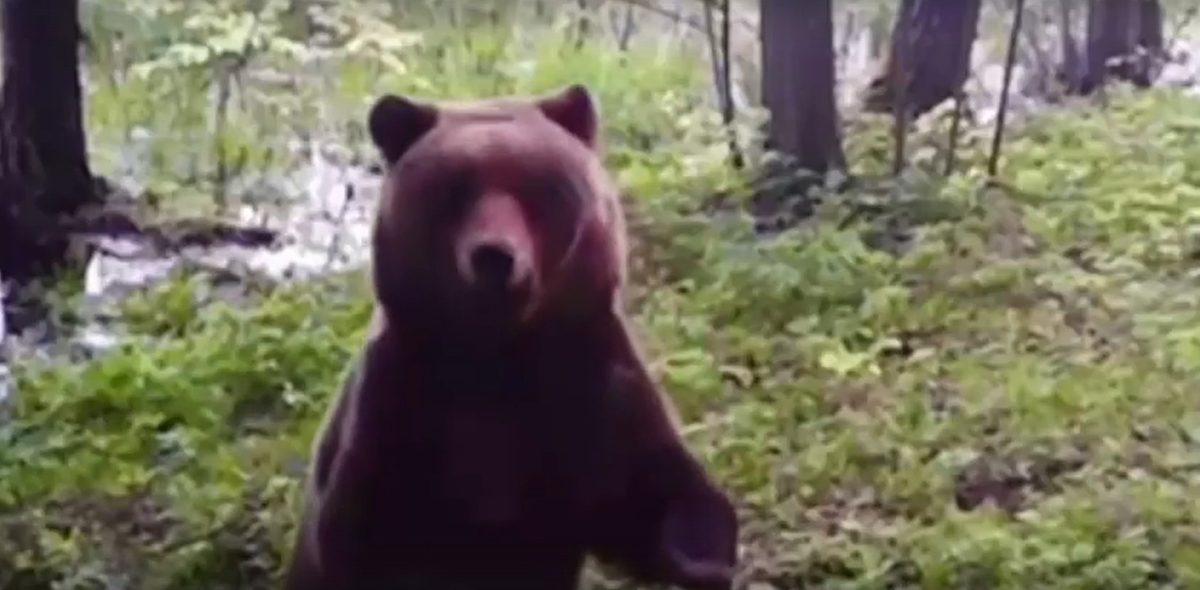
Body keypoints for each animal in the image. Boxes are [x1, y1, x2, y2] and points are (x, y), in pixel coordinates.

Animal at [280, 83, 734, 590]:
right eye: (455, 189)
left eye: (533, 185)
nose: (494, 256)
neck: (499, 351)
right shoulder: (402, 401)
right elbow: (363, 536)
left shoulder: (589, 383)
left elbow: (654, 494)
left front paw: (703, 560)